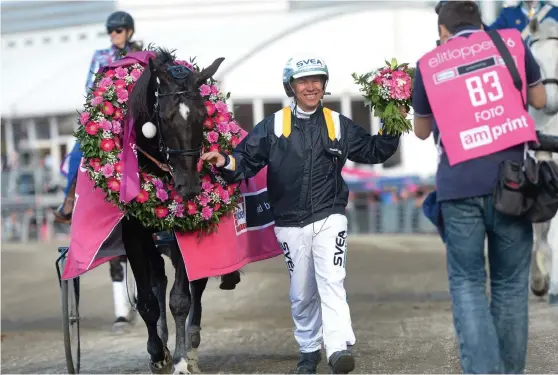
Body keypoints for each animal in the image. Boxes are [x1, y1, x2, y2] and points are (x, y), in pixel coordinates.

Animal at [124, 48, 241, 374]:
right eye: (164, 118)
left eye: (203, 115)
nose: (189, 186)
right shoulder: (133, 232)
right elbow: (147, 300)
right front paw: (157, 353)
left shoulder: (182, 226)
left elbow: (180, 298)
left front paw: (180, 359)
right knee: (156, 279)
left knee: (194, 287)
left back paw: (192, 347)